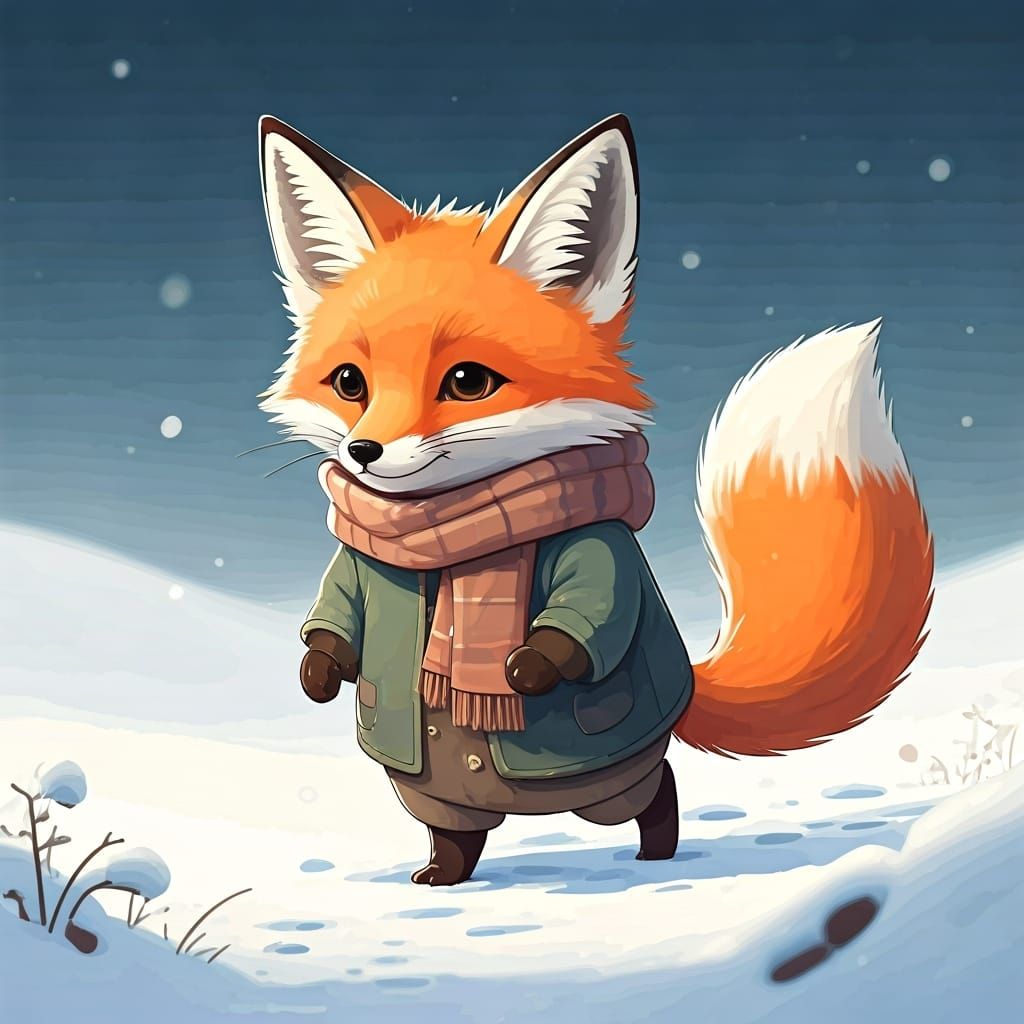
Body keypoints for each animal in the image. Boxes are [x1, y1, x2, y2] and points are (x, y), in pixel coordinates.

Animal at [258, 113, 934, 885]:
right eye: (350, 382)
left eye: (468, 382)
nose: (363, 452)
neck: (451, 537)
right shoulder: (364, 566)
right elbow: (339, 611)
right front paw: (319, 668)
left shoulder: (598, 549)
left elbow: (593, 606)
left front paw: (532, 664)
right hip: (430, 783)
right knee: (453, 821)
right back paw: (446, 873)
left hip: (609, 778)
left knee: (651, 790)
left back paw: (659, 851)